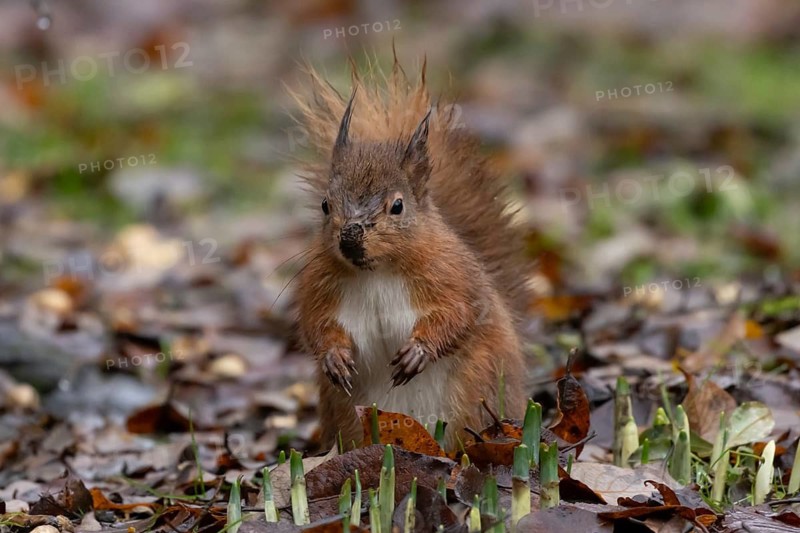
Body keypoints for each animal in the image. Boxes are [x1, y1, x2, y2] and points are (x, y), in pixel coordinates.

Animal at [291, 58, 530, 450]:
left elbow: (457, 315)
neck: (376, 272)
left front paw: (418, 351)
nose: (349, 238)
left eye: (398, 206)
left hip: (475, 388)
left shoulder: (453, 277)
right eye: (325, 205)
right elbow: (316, 325)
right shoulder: (318, 287)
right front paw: (334, 357)